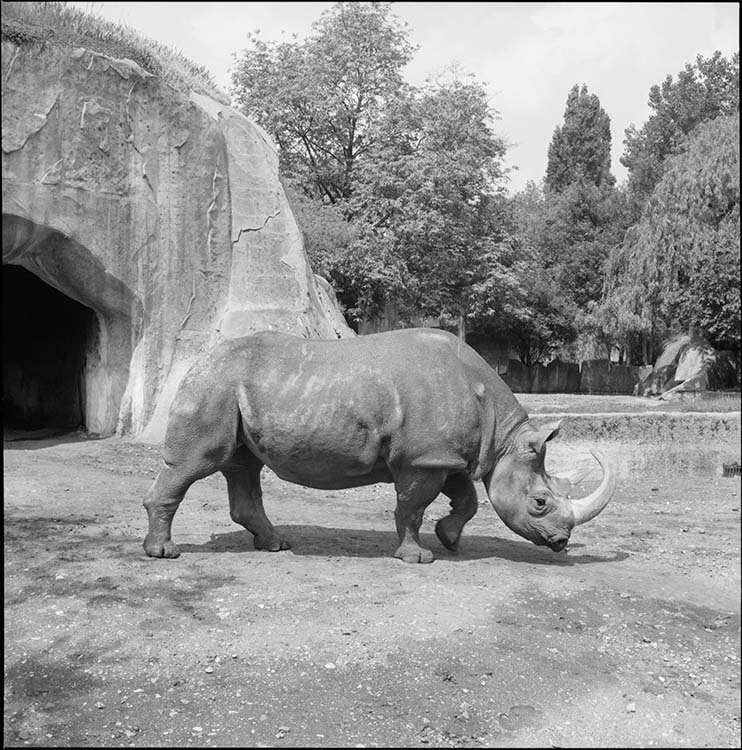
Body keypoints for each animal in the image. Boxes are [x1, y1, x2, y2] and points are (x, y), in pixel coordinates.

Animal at [143, 328, 615, 563]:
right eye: (540, 503)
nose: (561, 543)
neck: (502, 437)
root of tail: (198, 359)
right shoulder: (423, 459)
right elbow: (412, 508)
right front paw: (417, 558)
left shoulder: (443, 455)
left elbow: (465, 500)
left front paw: (449, 540)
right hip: (214, 386)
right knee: (198, 463)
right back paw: (163, 553)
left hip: (233, 389)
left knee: (243, 466)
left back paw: (276, 545)